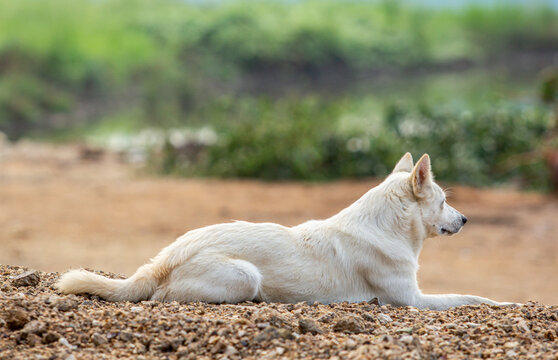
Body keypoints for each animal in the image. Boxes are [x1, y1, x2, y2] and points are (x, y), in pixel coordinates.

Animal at [57, 153, 512, 310]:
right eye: (444, 200)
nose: (466, 220)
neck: (385, 227)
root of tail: (165, 258)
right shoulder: (413, 301)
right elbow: (469, 297)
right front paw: (504, 302)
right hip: (244, 275)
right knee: (162, 298)